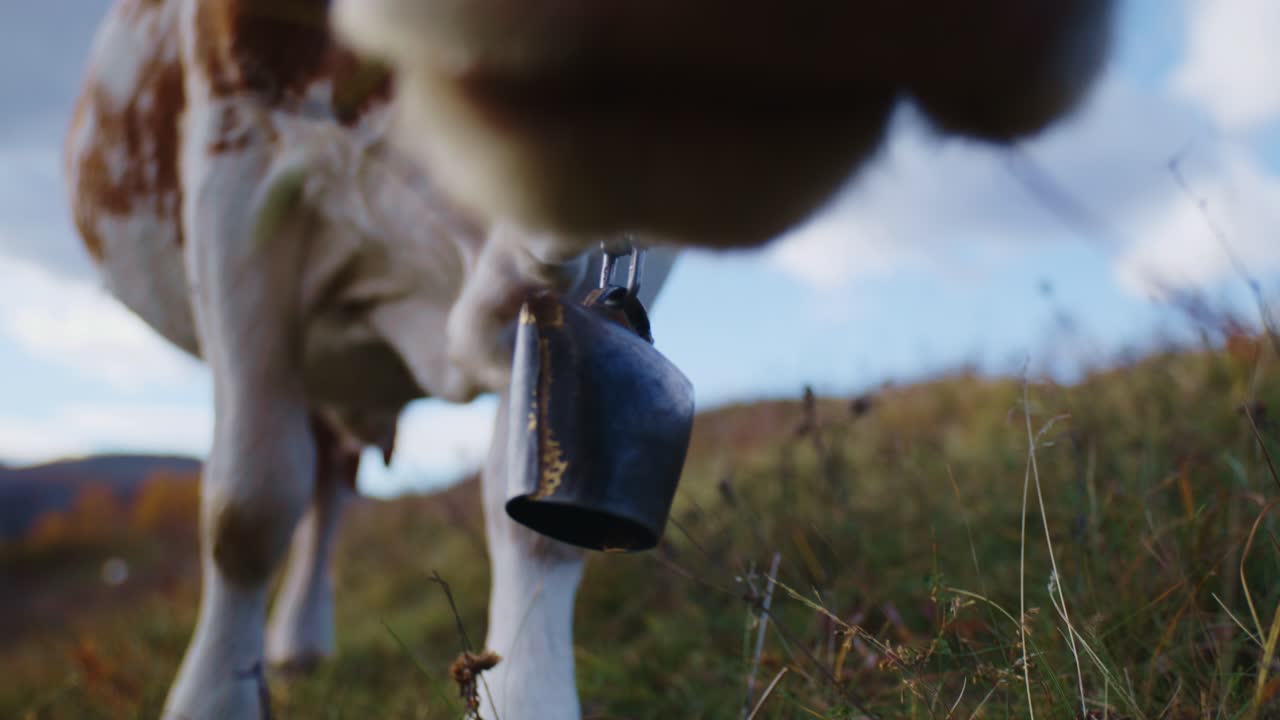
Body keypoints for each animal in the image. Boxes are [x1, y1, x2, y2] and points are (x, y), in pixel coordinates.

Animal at [64, 1, 1115, 719]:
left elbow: (526, 522)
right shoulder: (231, 177)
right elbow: (247, 507)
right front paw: (211, 699)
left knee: (335, 475)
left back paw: (300, 643)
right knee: (309, 477)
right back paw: (288, 646)